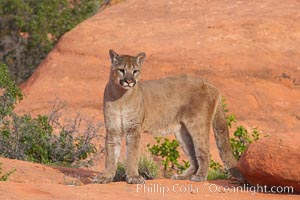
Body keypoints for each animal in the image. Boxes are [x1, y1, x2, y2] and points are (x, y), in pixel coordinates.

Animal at [94, 49, 244, 184]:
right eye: (121, 70)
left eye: (135, 71)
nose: (129, 81)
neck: (121, 97)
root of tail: (212, 85)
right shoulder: (113, 129)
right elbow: (110, 155)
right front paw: (105, 177)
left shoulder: (133, 128)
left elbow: (132, 154)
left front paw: (133, 177)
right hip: (182, 131)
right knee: (194, 157)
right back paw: (182, 176)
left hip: (198, 124)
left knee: (204, 151)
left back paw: (200, 176)